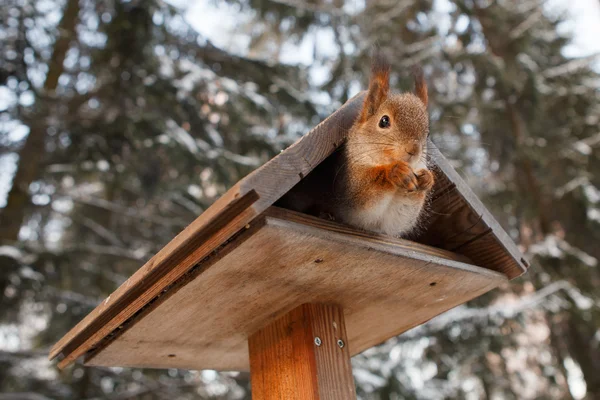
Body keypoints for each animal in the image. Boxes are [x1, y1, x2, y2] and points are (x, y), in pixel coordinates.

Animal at [278, 52, 434, 238]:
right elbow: (364, 193)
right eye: (384, 121)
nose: (413, 149)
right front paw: (395, 172)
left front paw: (427, 179)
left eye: (428, 133)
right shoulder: (348, 185)